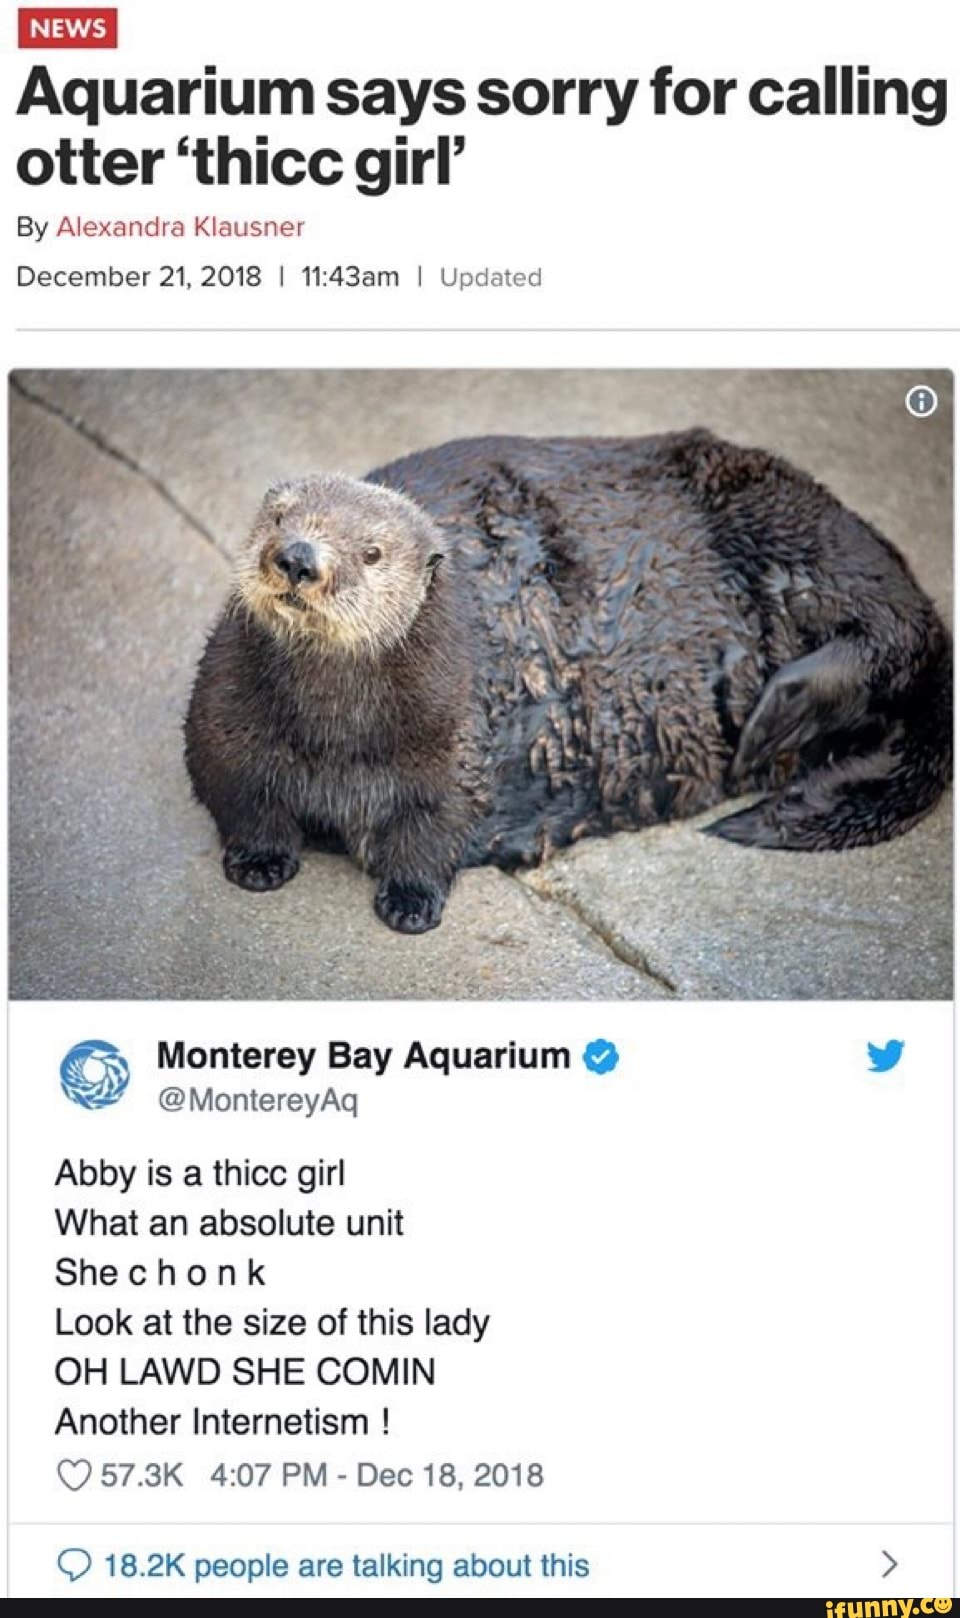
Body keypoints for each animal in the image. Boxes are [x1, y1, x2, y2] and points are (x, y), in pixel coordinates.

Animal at [184, 430, 952, 934]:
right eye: (278, 517)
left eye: (371, 553)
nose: (297, 557)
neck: (335, 735)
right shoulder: (224, 715)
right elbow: (238, 793)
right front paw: (258, 862)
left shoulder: (454, 740)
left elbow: (438, 825)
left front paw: (411, 901)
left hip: (790, 521)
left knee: (899, 631)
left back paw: (777, 715)